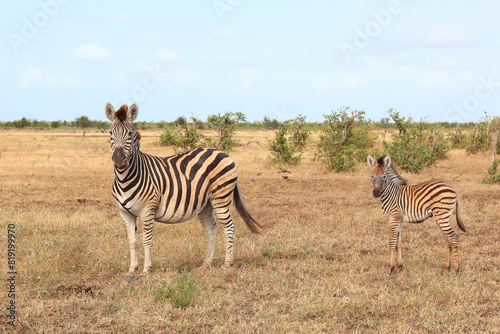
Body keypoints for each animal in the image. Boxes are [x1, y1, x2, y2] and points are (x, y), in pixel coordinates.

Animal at [104, 103, 264, 280]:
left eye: (130, 133)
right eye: (111, 133)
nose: (118, 159)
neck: (125, 178)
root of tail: (222, 152)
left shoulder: (147, 211)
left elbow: (146, 240)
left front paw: (146, 270)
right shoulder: (125, 213)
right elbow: (132, 241)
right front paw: (132, 269)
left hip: (221, 198)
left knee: (228, 228)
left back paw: (227, 264)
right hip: (205, 204)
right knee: (212, 230)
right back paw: (206, 264)